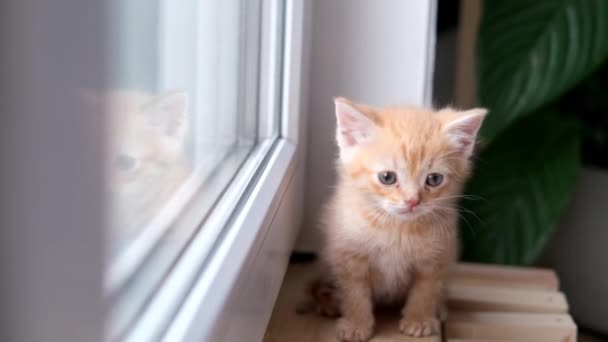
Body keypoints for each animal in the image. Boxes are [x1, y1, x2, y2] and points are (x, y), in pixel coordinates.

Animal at [316, 97, 486, 340]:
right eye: (387, 177)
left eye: (434, 179)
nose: (412, 201)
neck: (397, 228)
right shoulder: (348, 254)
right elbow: (354, 291)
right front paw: (356, 324)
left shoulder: (437, 257)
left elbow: (426, 289)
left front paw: (419, 319)